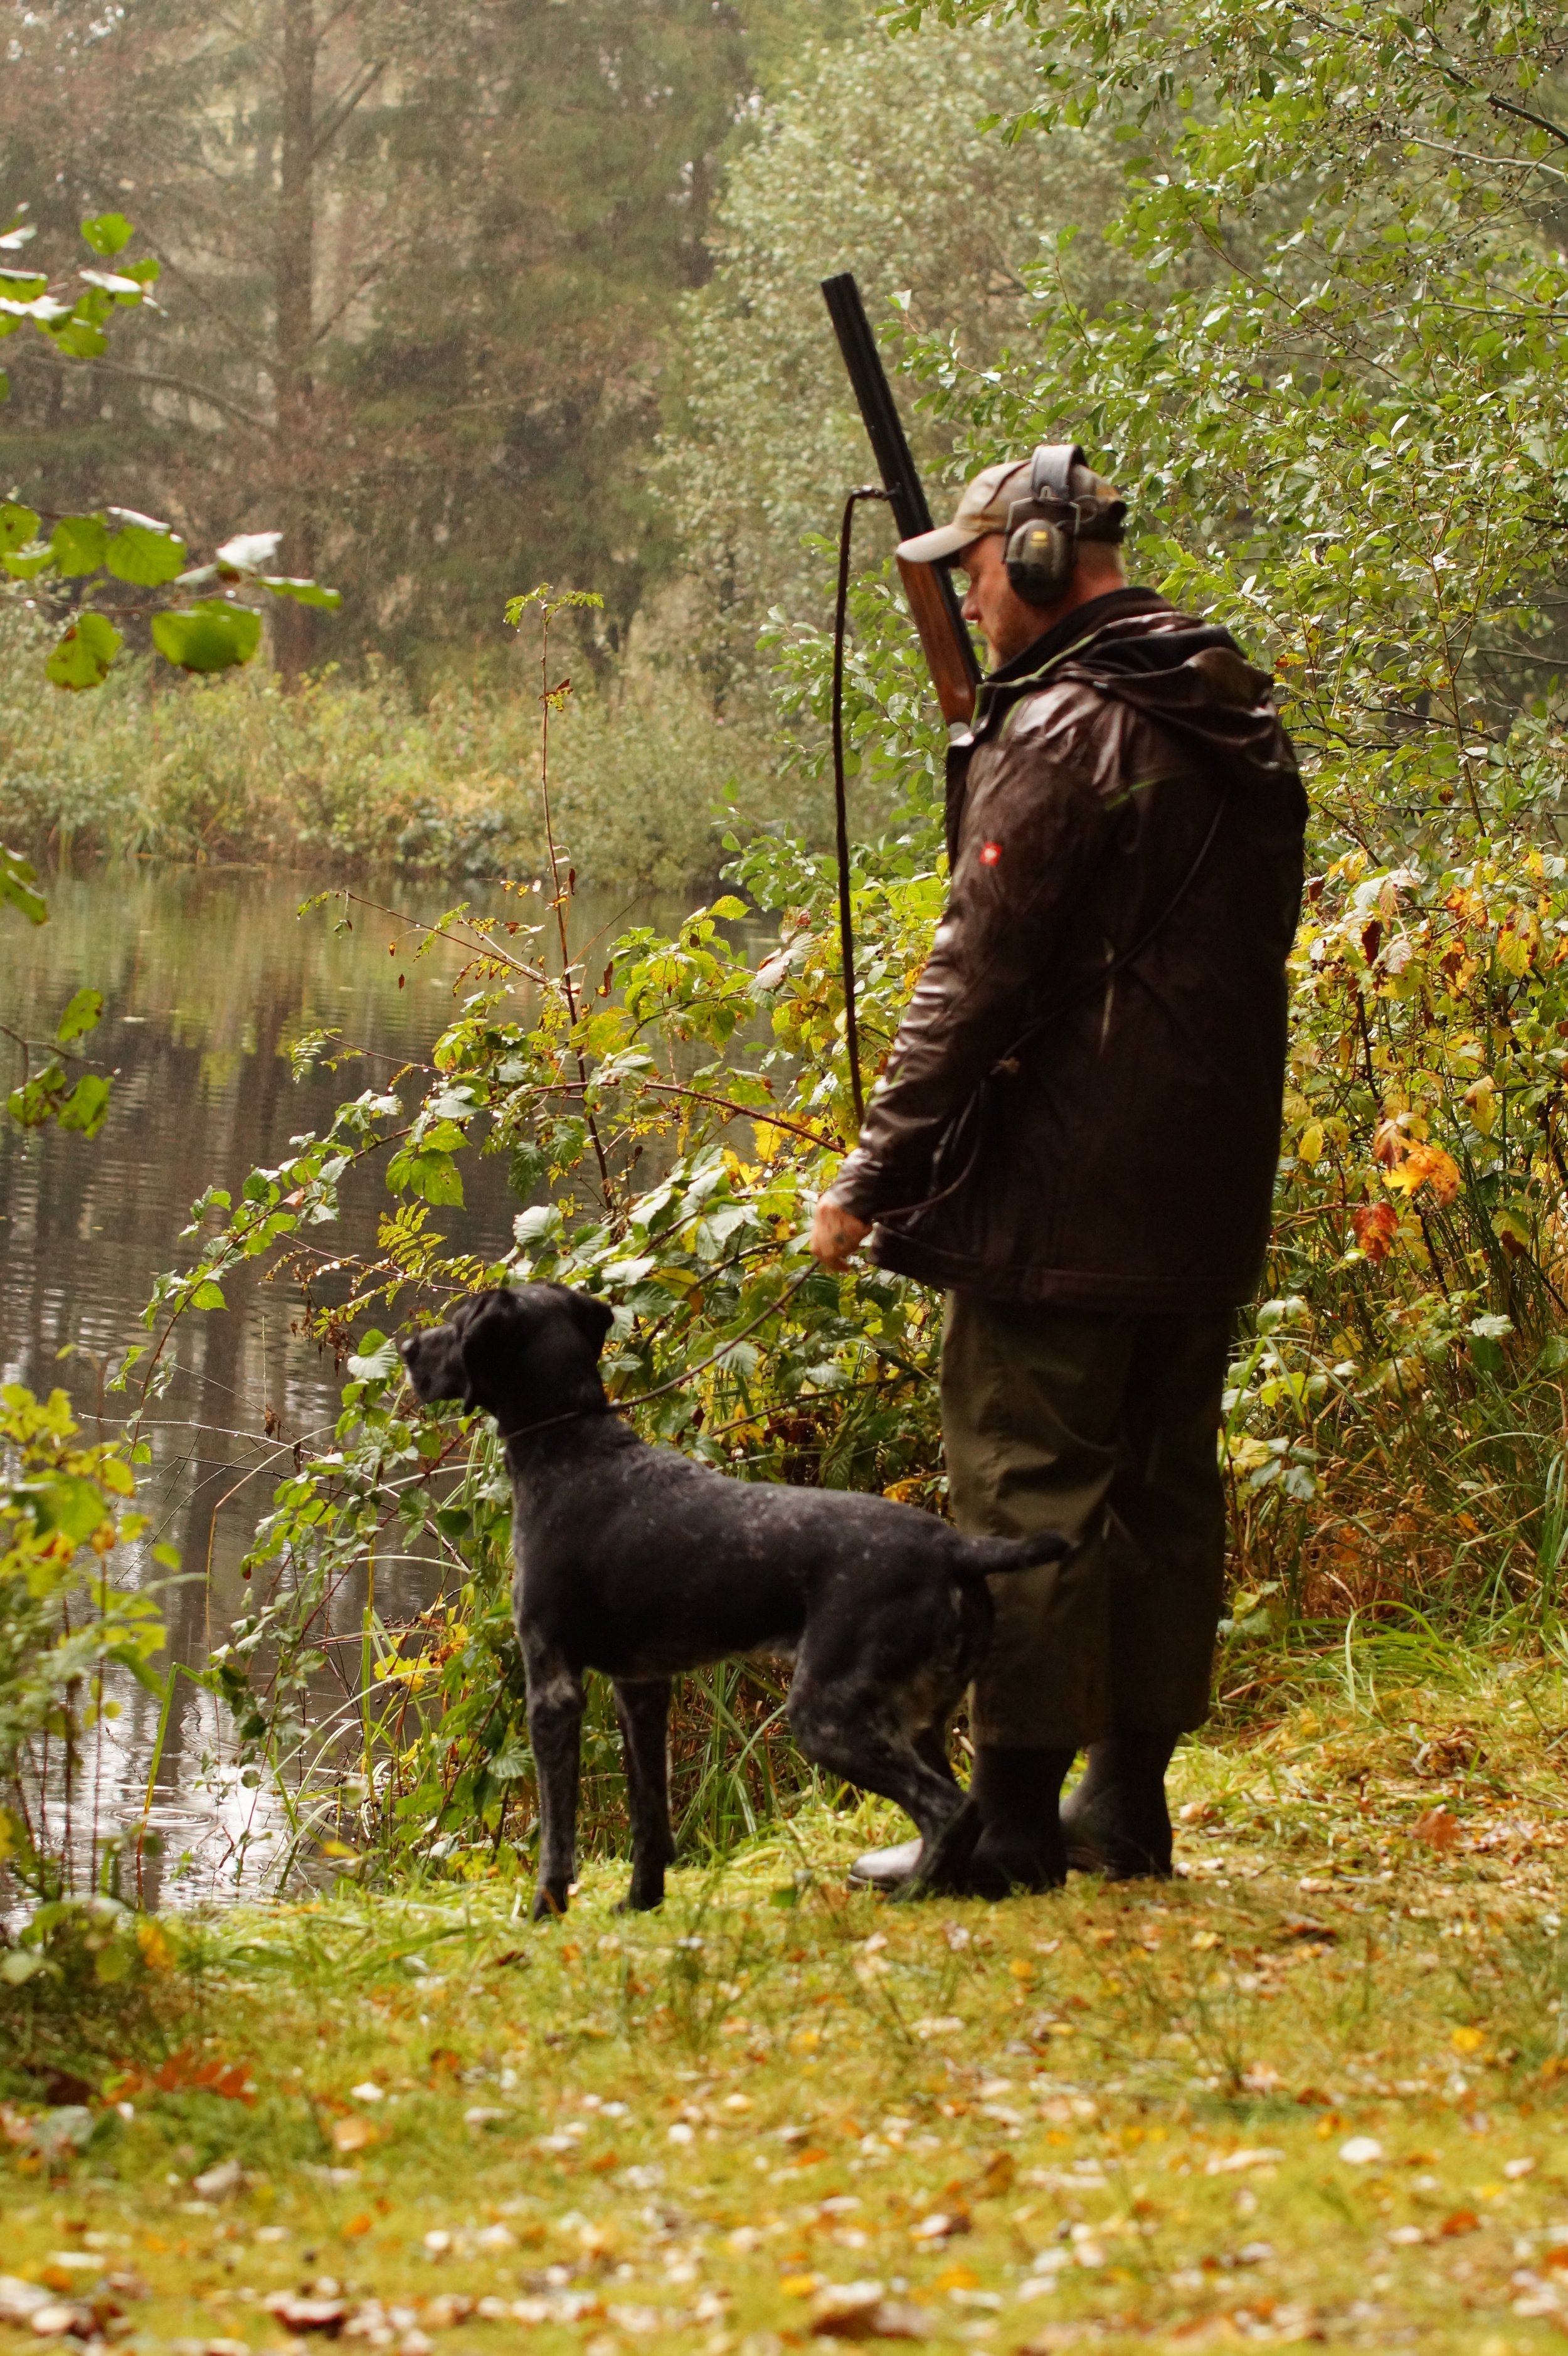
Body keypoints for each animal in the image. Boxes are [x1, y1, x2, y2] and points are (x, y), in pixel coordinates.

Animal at [399, 1282, 1068, 1917]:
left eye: (457, 1325)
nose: (406, 1348)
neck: (573, 1446)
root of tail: (957, 1548)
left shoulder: (553, 1684)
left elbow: (557, 1837)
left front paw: (545, 1913)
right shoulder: (642, 1689)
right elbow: (650, 1816)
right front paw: (642, 1903)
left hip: (830, 1715)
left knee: (947, 1809)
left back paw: (910, 1900)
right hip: (919, 1718)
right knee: (965, 1807)